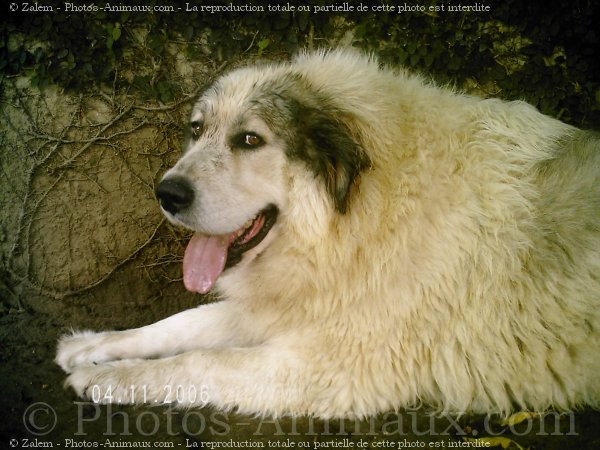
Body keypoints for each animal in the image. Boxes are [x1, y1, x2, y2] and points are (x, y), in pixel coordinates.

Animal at [56, 49, 600, 418]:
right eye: (196, 129)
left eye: (249, 139)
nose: (165, 193)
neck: (357, 220)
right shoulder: (287, 304)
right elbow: (181, 324)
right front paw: (93, 345)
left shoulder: (331, 367)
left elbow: (199, 361)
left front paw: (109, 378)